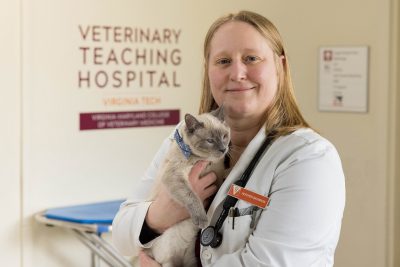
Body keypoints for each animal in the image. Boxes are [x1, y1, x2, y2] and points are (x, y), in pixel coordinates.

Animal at [145, 108, 230, 267]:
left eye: (224, 136)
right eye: (210, 141)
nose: (223, 149)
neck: (205, 161)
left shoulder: (218, 174)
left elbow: (224, 175)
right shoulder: (175, 176)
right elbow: (191, 196)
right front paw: (202, 219)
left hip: (191, 260)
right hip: (167, 262)